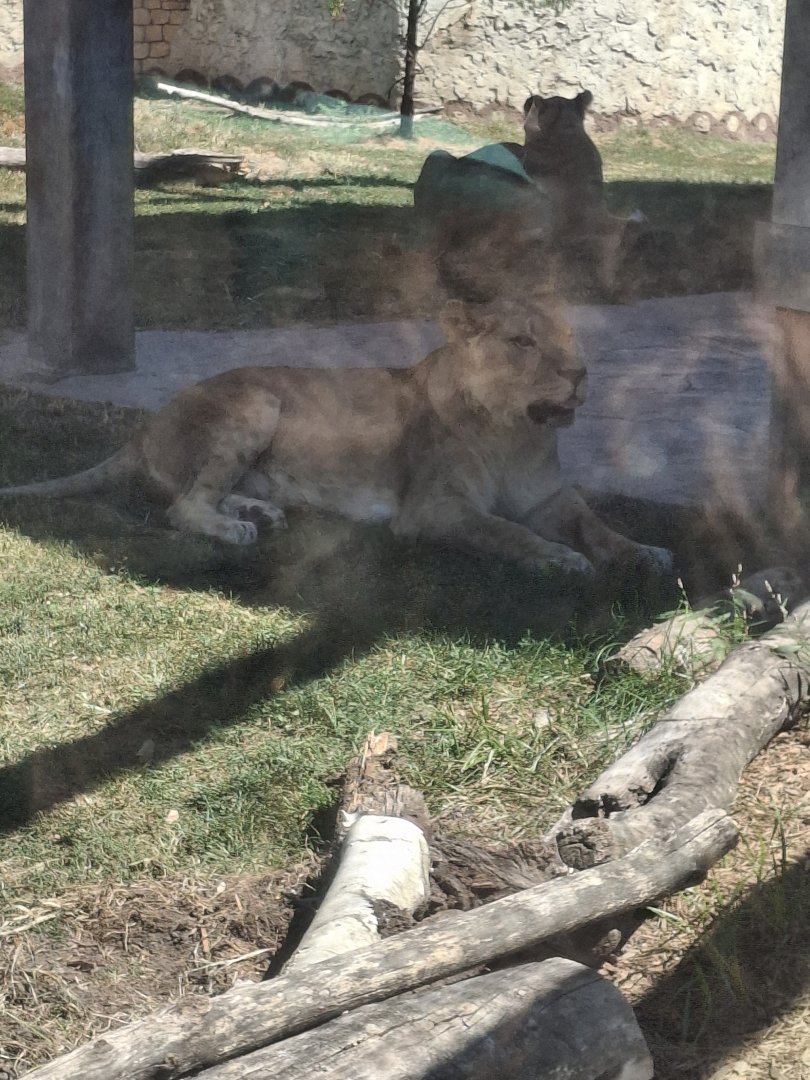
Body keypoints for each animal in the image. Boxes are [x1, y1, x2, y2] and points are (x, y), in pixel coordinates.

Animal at [0, 298, 672, 577]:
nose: (581, 375)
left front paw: (644, 552)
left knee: (201, 492)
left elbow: (595, 524)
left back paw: (260, 511)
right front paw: (558, 559)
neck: (515, 431)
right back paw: (238, 527)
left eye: (570, 338)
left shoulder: (550, 497)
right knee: (181, 506)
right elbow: (504, 531)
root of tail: (147, 424)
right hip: (258, 401)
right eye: (522, 342)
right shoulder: (432, 509)